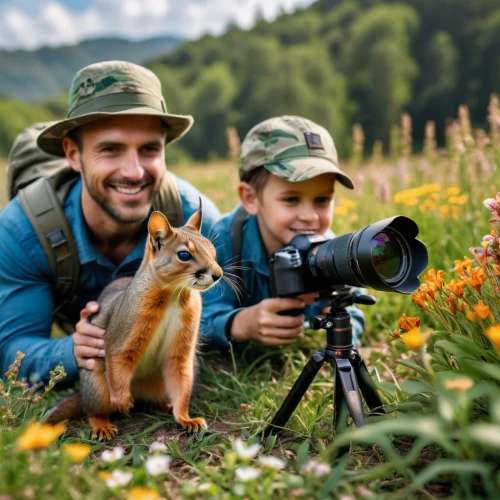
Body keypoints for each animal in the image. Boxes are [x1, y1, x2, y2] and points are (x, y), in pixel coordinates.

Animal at [43, 205, 223, 440]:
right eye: (184, 255)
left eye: (213, 250)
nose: (218, 274)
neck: (174, 294)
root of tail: (139, 391)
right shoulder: (123, 332)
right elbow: (118, 359)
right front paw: (121, 401)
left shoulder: (182, 349)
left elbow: (181, 380)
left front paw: (186, 418)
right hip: (98, 387)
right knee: (93, 410)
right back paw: (103, 424)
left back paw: (167, 406)